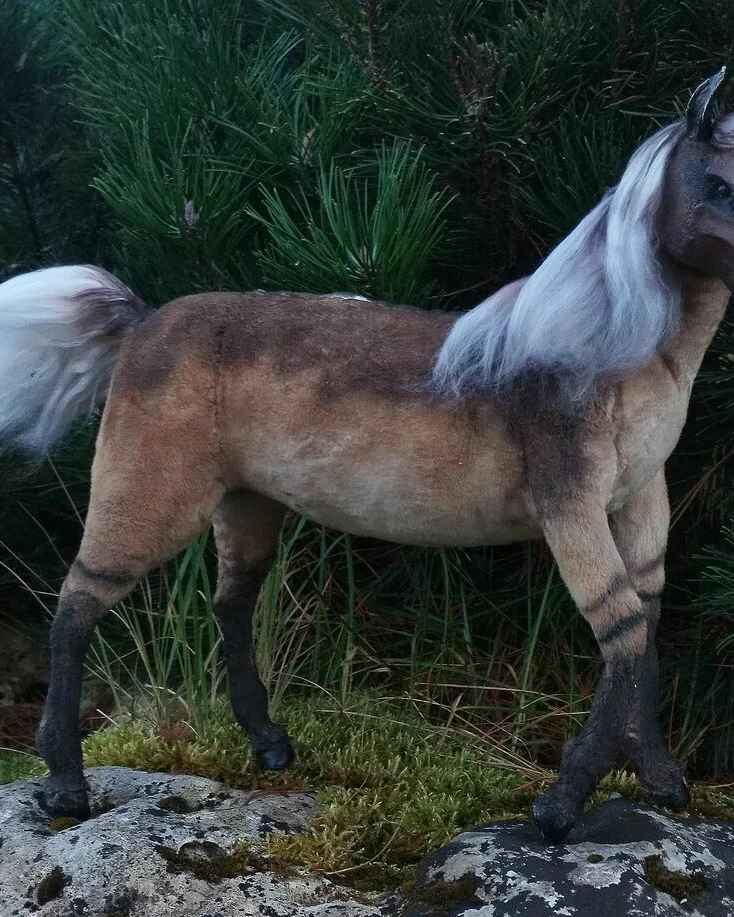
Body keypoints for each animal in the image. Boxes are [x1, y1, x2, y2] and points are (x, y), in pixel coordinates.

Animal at [1, 69, 732, 844]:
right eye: (716, 183)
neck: (609, 351)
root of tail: (140, 324)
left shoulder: (642, 499)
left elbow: (645, 622)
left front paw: (659, 781)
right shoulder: (572, 506)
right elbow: (621, 628)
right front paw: (561, 807)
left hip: (246, 502)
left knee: (230, 600)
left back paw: (269, 746)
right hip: (149, 494)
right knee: (77, 603)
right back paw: (66, 787)